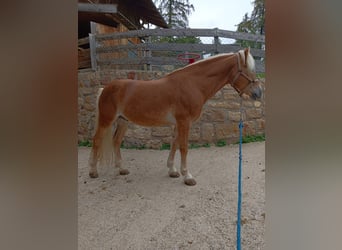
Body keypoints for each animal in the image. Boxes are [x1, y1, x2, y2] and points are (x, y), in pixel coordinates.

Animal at [87, 48, 262, 186]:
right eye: (248, 70)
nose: (258, 93)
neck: (192, 84)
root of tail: (105, 88)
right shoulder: (184, 122)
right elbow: (184, 147)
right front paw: (188, 176)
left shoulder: (179, 123)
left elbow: (174, 144)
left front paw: (172, 170)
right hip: (106, 120)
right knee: (96, 140)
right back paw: (93, 172)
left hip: (123, 122)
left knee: (116, 141)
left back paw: (122, 169)